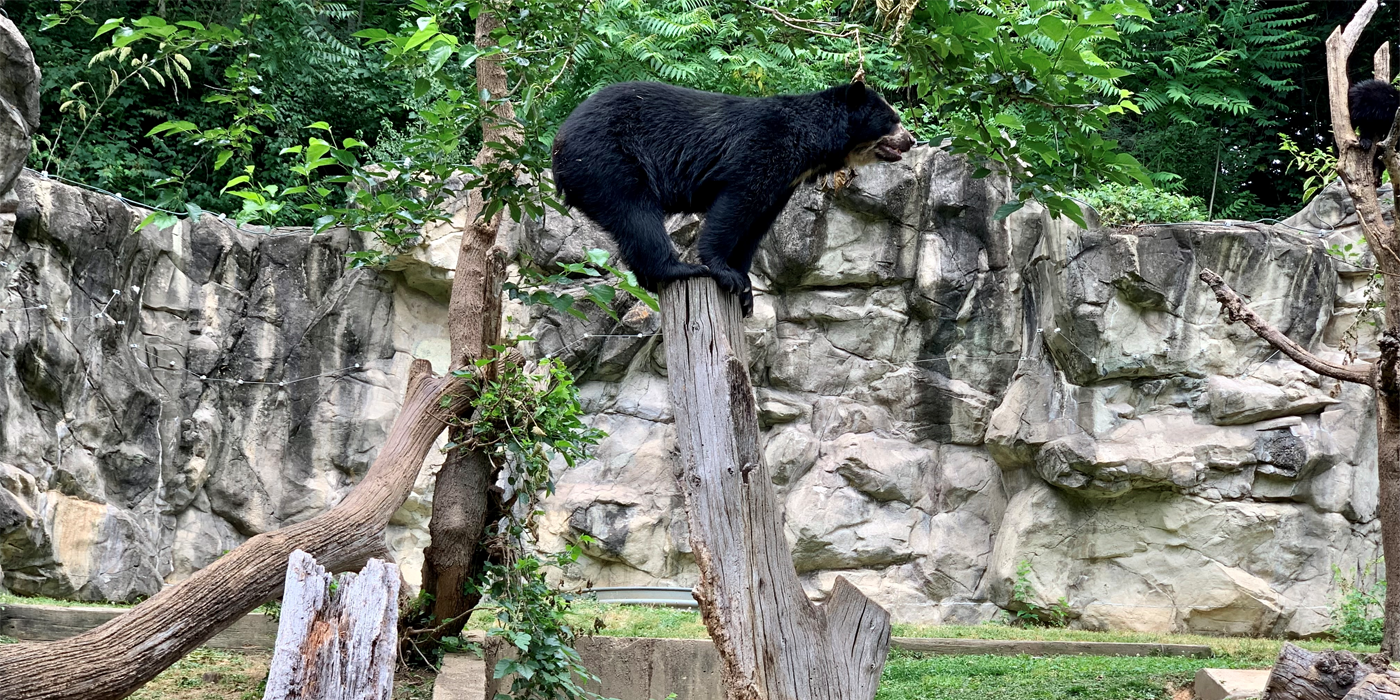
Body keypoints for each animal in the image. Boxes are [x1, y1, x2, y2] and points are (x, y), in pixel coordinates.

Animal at [551, 78, 912, 315]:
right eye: (892, 119)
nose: (910, 140)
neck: (810, 149)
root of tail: (558, 144)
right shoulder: (764, 148)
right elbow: (737, 203)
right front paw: (724, 271)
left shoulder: (785, 182)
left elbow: (758, 223)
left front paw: (746, 288)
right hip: (609, 159)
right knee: (636, 214)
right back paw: (679, 270)